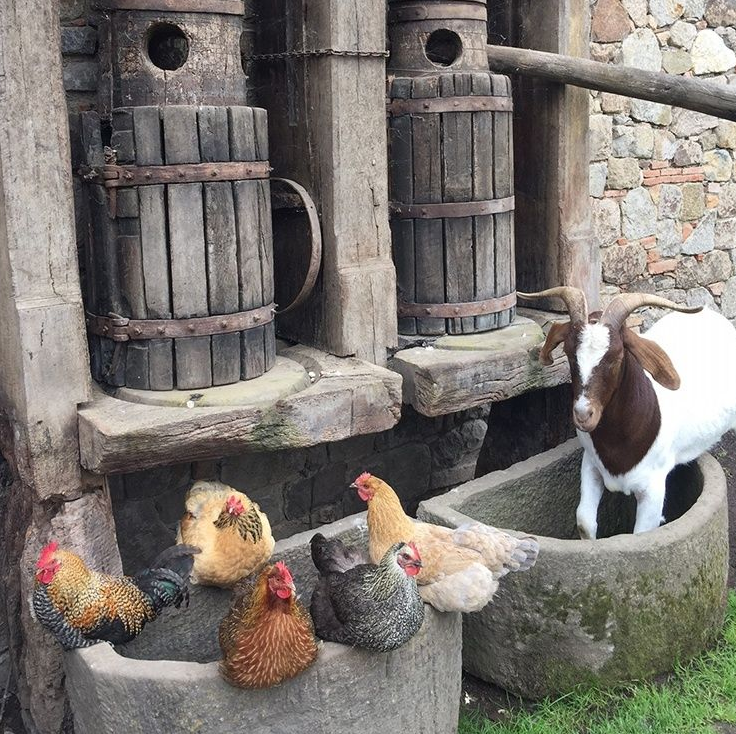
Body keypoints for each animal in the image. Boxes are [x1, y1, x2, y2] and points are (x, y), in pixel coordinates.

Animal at [519, 287, 736, 539]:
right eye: (570, 354)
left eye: (616, 357)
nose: (583, 414)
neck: (618, 444)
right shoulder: (591, 464)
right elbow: (584, 521)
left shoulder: (652, 487)